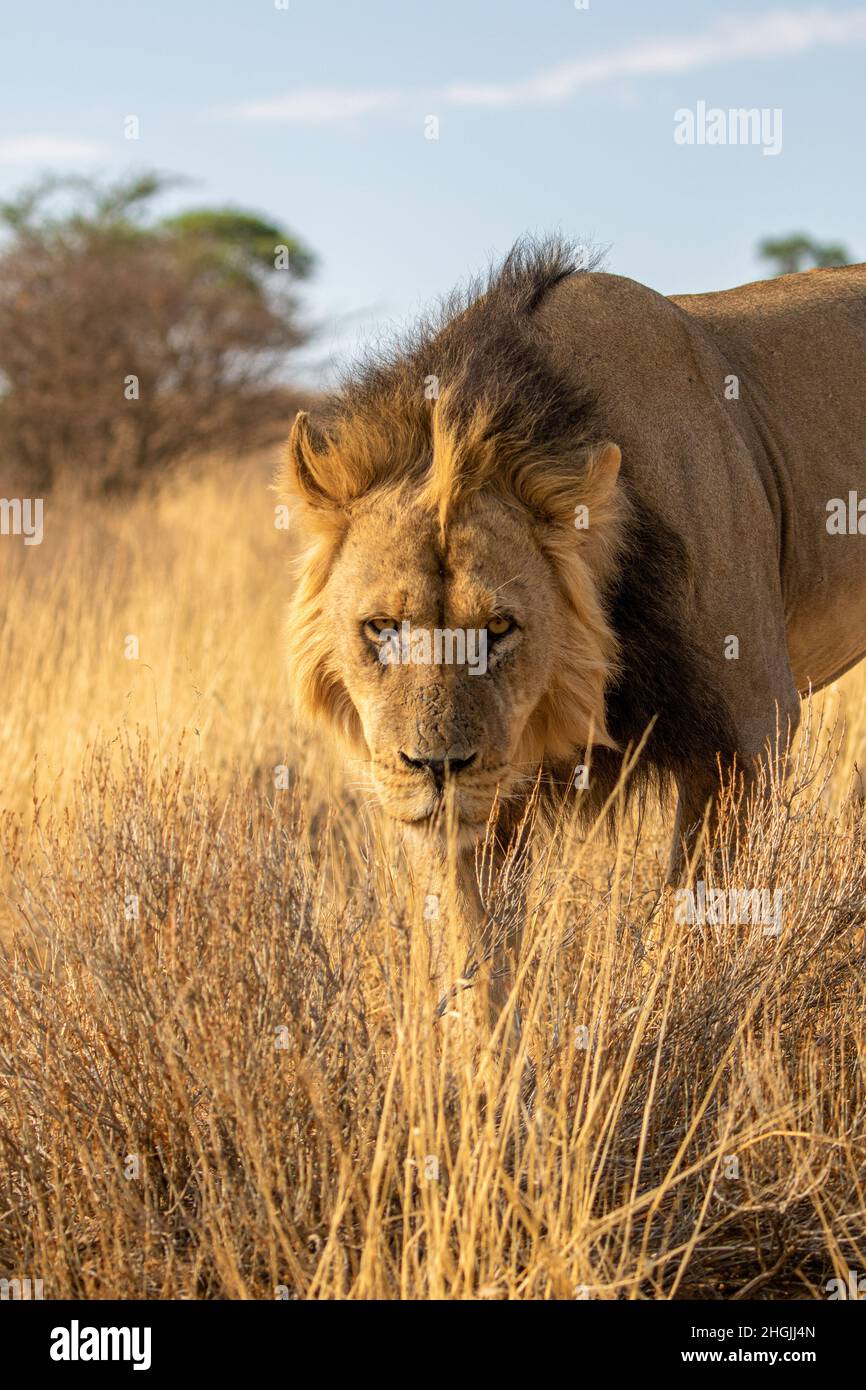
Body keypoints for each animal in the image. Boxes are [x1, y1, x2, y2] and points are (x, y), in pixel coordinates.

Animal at [281, 238, 866, 1011]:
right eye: (381, 626)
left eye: (500, 627)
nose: (435, 767)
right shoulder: (484, 796)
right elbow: (478, 956)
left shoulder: (746, 731)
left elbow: (699, 922)